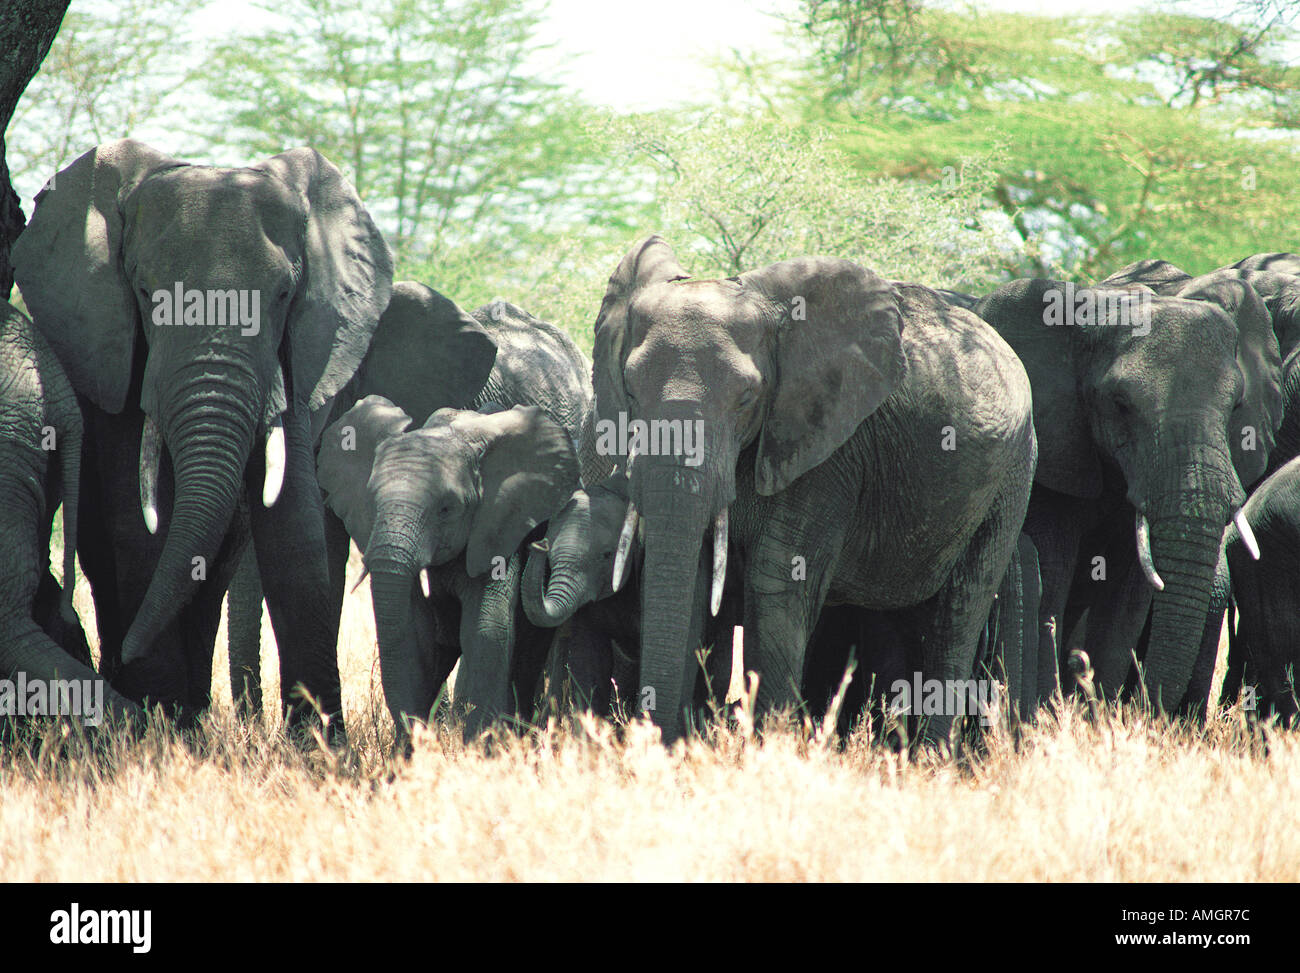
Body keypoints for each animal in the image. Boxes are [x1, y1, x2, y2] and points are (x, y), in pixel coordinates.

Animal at [314, 395, 579, 738]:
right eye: (372, 501)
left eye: (446, 509)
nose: (542, 545)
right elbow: (410, 633)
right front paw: (413, 747)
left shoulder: (499, 525)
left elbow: (485, 630)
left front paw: (480, 745)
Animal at [592, 235, 1034, 744]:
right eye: (630, 389)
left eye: (747, 398)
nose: (657, 741)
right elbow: (695, 575)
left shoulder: (829, 450)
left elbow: (777, 579)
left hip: (1013, 474)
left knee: (959, 611)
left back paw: (932, 757)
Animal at [977, 273, 1279, 707]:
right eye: (1120, 403)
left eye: (1236, 405)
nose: (1147, 706)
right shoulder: (1052, 458)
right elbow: (1052, 575)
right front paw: (1052, 713)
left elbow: (1127, 600)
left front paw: (1095, 714)